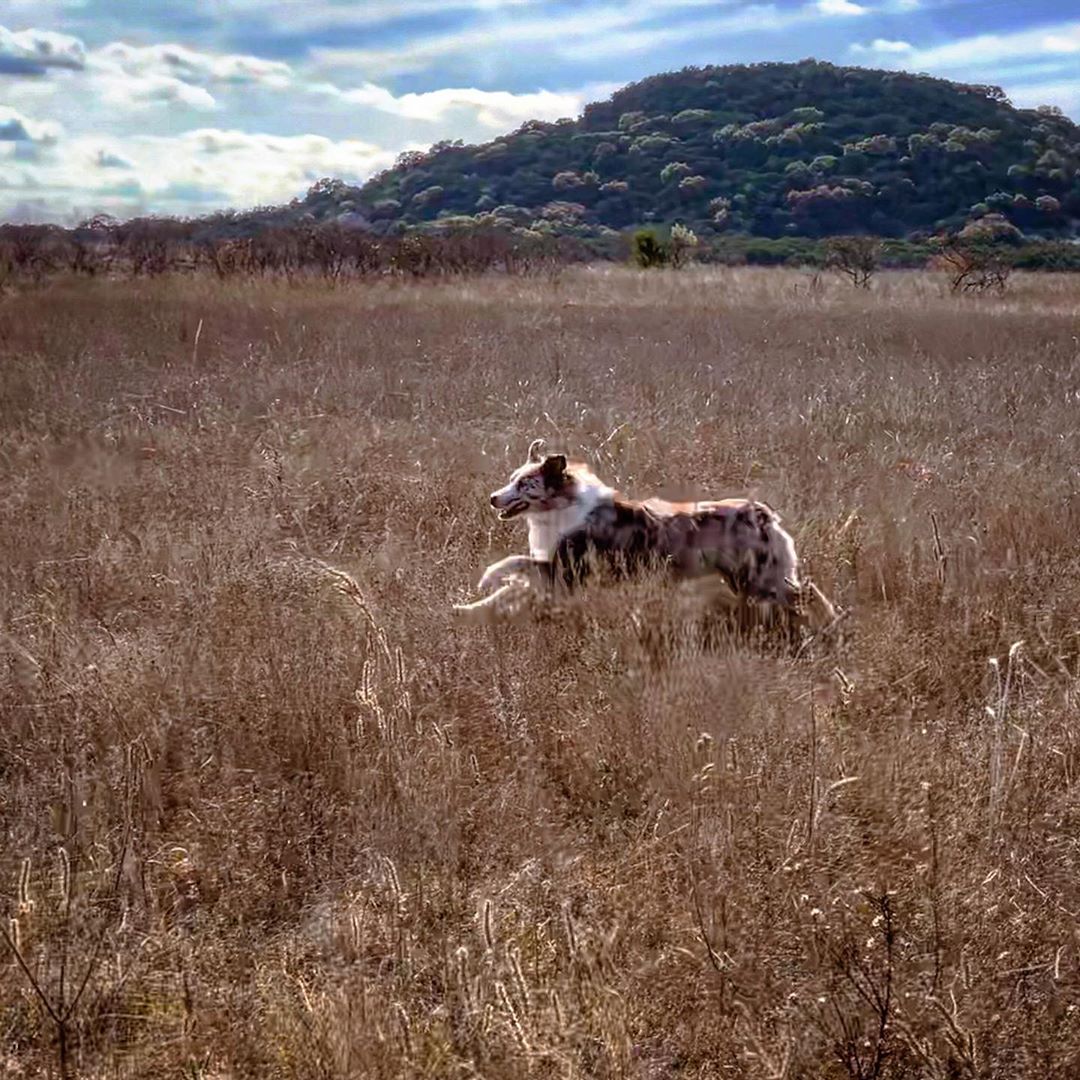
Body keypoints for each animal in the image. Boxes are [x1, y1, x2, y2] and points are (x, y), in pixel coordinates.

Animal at [451, 438, 838, 639]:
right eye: (511, 479)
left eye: (523, 484)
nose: (492, 498)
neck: (561, 506)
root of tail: (762, 513)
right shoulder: (555, 575)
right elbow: (507, 592)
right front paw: (467, 612)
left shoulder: (566, 571)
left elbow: (514, 563)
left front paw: (488, 576)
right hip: (747, 581)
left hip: (762, 579)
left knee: (809, 593)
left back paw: (830, 623)